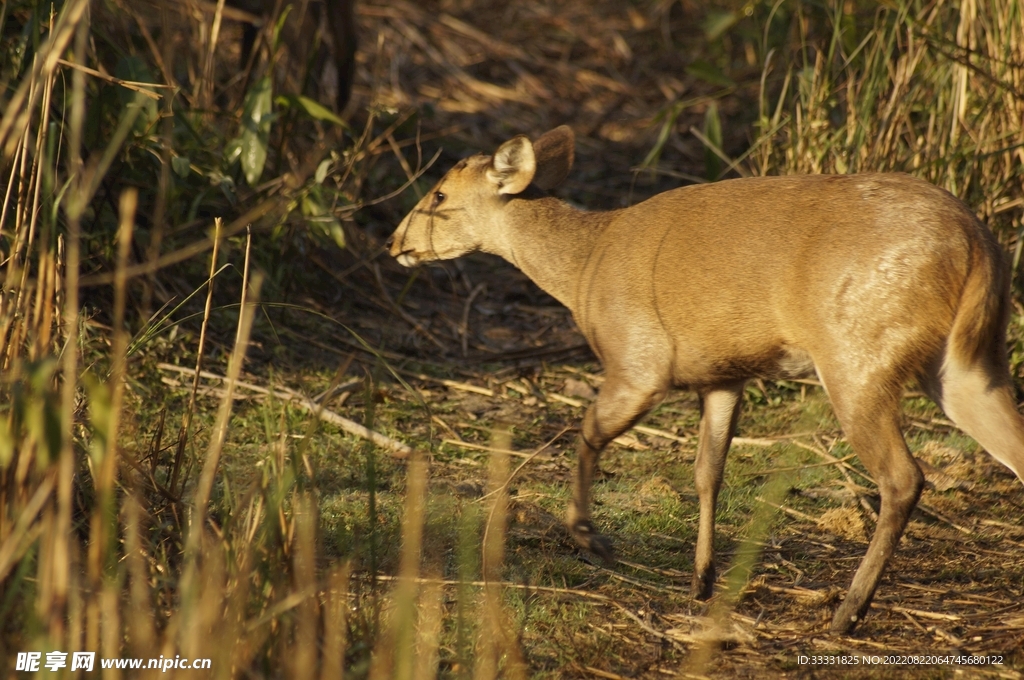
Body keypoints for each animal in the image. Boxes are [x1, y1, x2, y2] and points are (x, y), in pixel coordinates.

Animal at [387, 125, 1024, 634]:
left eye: (439, 194)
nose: (395, 243)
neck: (584, 266)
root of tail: (978, 244)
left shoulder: (639, 360)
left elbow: (587, 433)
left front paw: (591, 539)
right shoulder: (723, 374)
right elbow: (707, 471)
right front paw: (702, 579)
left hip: (856, 352)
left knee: (903, 476)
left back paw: (847, 612)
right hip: (968, 363)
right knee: (1010, 448)